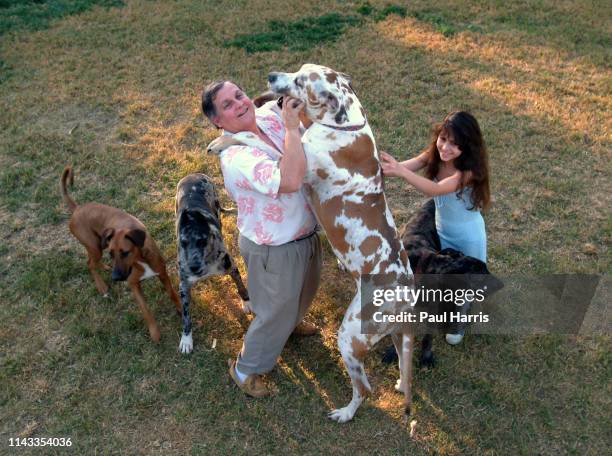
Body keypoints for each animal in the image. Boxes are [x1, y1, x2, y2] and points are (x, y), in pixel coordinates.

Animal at [59, 166, 179, 340]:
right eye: (112, 254)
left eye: (125, 252)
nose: (115, 278)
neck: (140, 259)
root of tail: (77, 208)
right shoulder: (133, 284)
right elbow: (146, 310)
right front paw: (155, 332)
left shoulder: (162, 273)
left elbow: (172, 294)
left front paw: (181, 310)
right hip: (95, 247)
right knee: (90, 264)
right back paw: (102, 286)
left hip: (97, 246)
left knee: (92, 261)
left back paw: (105, 269)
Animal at [176, 173, 250, 354]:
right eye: (183, 242)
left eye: (202, 241)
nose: (193, 267)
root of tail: (193, 174)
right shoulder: (183, 286)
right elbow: (186, 316)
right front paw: (186, 340)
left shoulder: (232, 268)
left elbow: (241, 287)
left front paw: (247, 303)